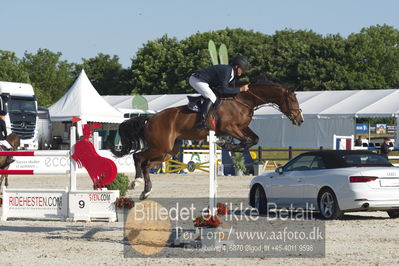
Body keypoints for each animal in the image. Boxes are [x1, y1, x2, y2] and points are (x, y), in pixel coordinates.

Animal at [111, 80, 304, 198]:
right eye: (293, 99)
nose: (299, 119)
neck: (244, 100)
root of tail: (151, 118)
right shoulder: (229, 128)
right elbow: (247, 141)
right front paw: (229, 145)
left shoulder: (242, 128)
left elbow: (254, 139)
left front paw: (232, 146)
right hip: (160, 147)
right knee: (138, 157)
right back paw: (136, 182)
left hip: (168, 151)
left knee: (147, 165)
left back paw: (146, 192)